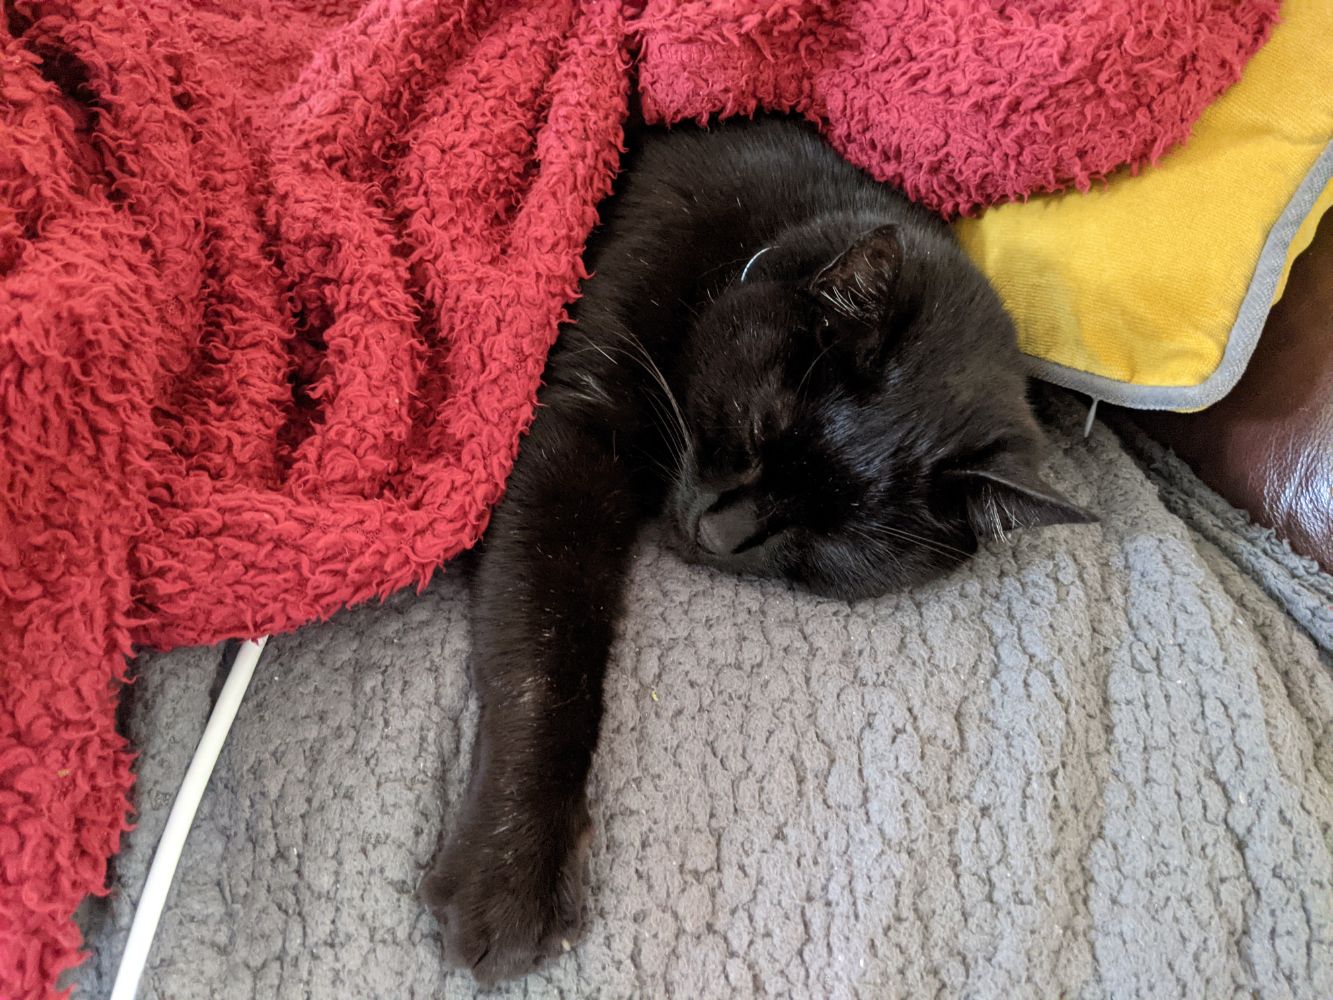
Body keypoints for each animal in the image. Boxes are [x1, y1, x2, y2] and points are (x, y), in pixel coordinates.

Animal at [415, 115, 1093, 981]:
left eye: (835, 540)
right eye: (755, 430)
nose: (719, 532)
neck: (756, 238)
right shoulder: (573, 434)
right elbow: (547, 659)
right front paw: (511, 872)